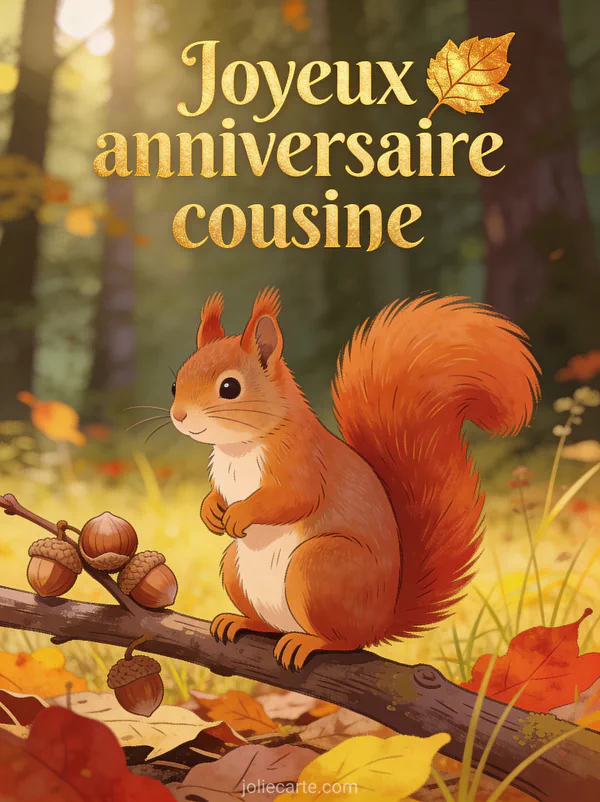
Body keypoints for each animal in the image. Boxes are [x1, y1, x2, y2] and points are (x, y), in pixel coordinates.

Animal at [170, 288, 540, 671]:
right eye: (174, 384)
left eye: (230, 387)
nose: (179, 416)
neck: (239, 448)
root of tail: (381, 622)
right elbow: (217, 495)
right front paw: (211, 511)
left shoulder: (303, 463)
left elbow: (293, 499)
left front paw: (240, 513)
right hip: (236, 567)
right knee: (269, 622)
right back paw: (243, 621)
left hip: (319, 567)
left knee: (346, 641)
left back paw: (310, 642)